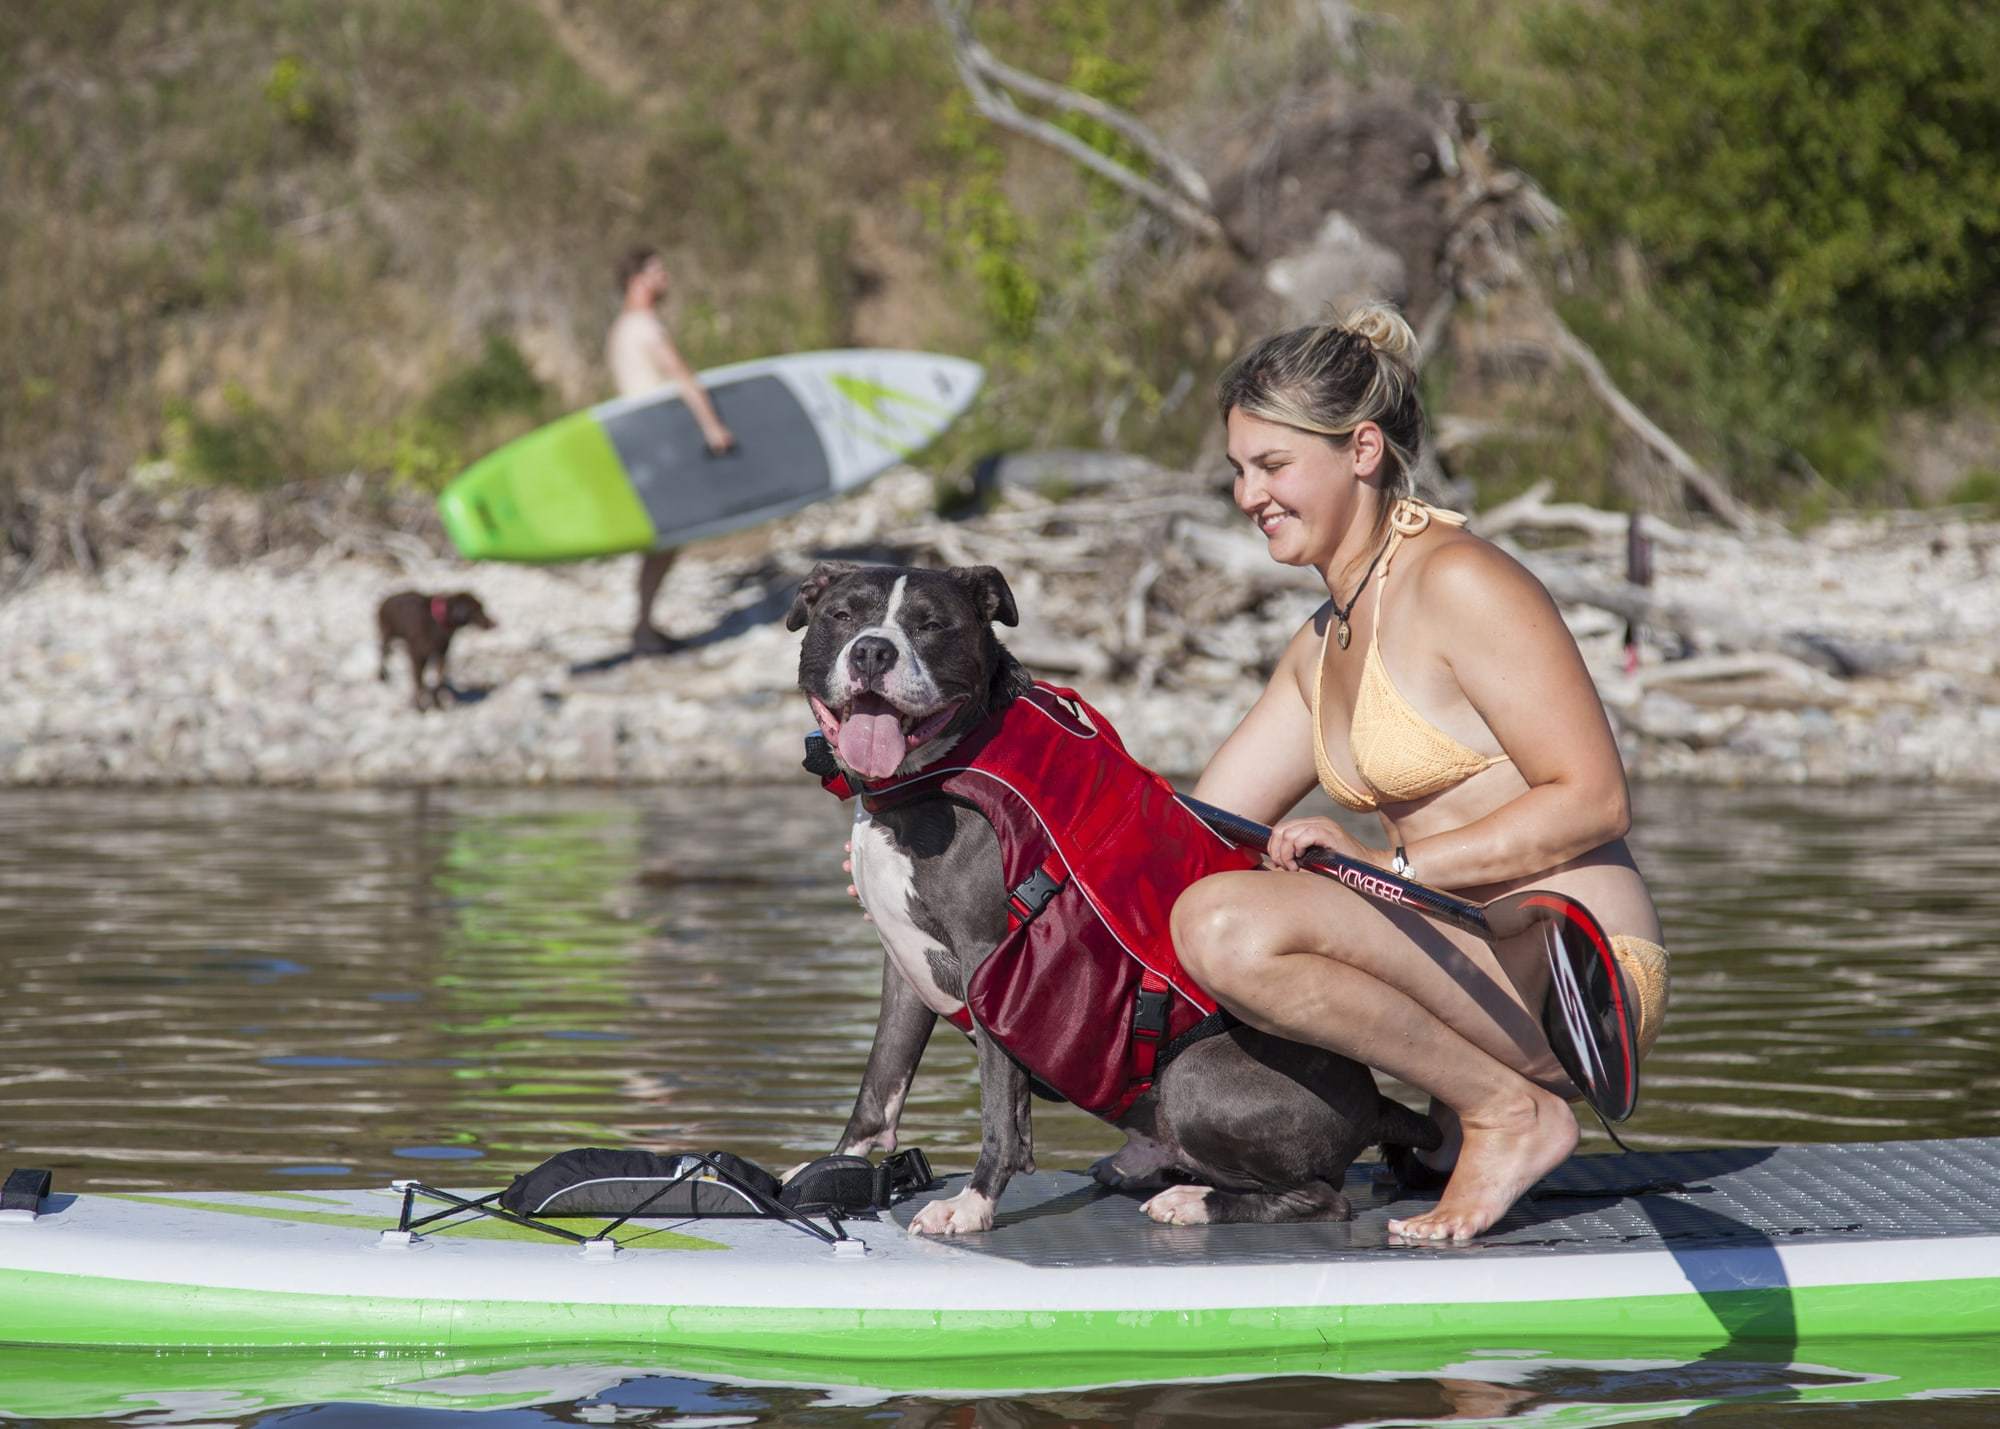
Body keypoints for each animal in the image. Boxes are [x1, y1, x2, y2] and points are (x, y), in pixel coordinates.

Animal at [784, 560, 1440, 1232]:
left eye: (931, 625)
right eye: (842, 616)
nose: (873, 650)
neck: (929, 777)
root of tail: (1375, 1103)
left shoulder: (988, 962)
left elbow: (999, 1113)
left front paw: (971, 1203)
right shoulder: (903, 962)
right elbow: (880, 1081)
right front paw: (834, 1168)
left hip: (1196, 1078)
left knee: (1322, 1197)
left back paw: (1193, 1201)